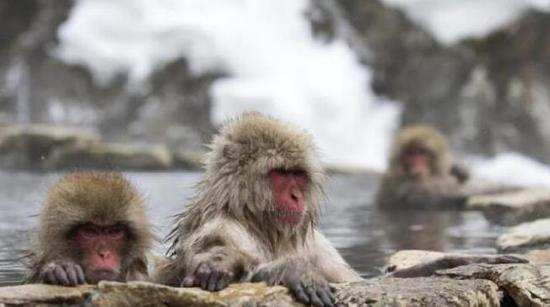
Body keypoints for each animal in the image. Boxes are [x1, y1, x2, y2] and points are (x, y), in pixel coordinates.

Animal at [160, 112, 364, 307]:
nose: (296, 196)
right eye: (281, 173)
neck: (265, 230)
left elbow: (354, 281)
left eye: (297, 174)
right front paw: (294, 269)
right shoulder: (219, 227)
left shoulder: (318, 245)